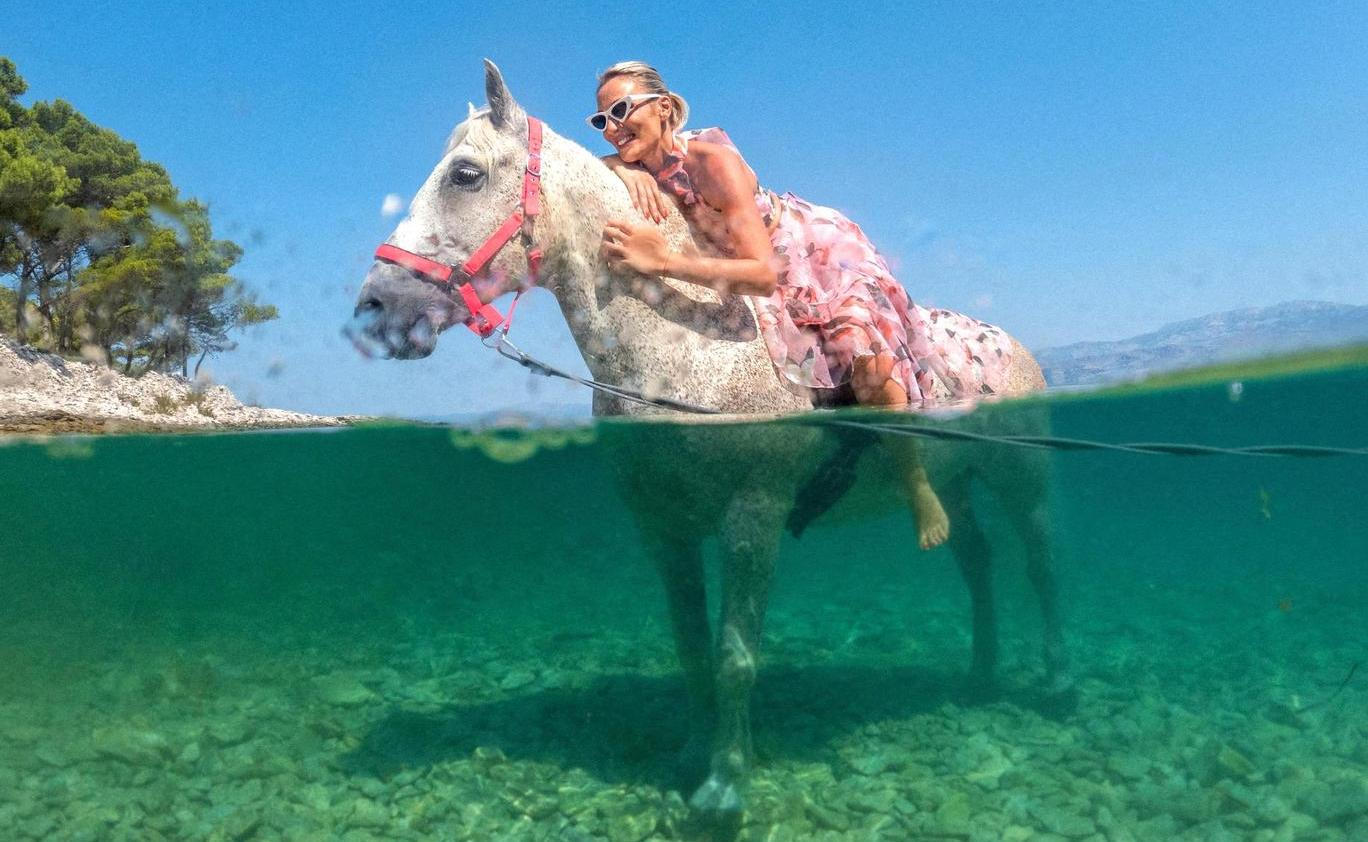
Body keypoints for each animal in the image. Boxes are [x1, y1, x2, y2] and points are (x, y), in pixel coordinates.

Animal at [350, 60, 1071, 827]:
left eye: (464, 174)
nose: (374, 307)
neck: (689, 346)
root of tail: (1012, 344)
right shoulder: (663, 528)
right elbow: (692, 648)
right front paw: (692, 758)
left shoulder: (752, 517)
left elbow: (734, 656)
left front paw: (723, 790)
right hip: (959, 480)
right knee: (976, 560)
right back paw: (979, 676)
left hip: (1022, 478)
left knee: (1040, 565)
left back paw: (1056, 686)